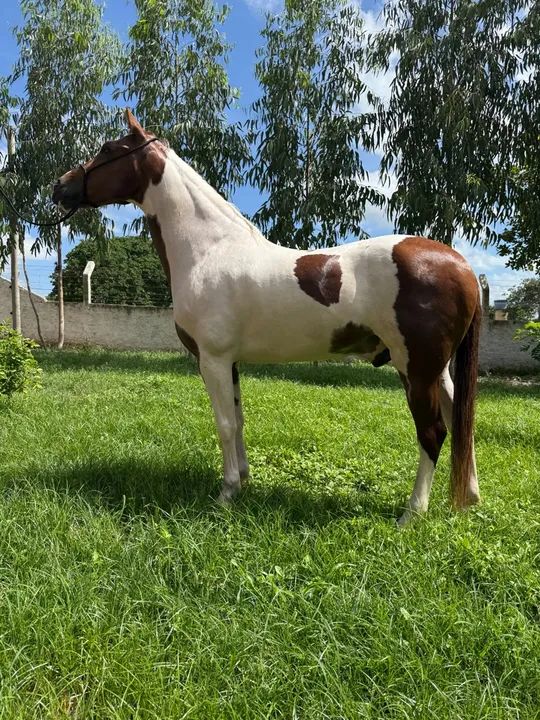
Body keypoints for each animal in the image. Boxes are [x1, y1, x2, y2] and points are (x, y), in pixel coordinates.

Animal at [52, 109, 481, 526]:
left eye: (108, 149)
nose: (60, 186)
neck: (210, 251)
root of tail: (462, 266)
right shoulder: (231, 362)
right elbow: (239, 419)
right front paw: (243, 480)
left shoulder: (213, 359)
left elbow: (224, 424)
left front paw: (226, 494)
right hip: (436, 370)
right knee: (459, 419)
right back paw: (469, 498)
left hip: (416, 367)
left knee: (433, 431)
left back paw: (412, 514)